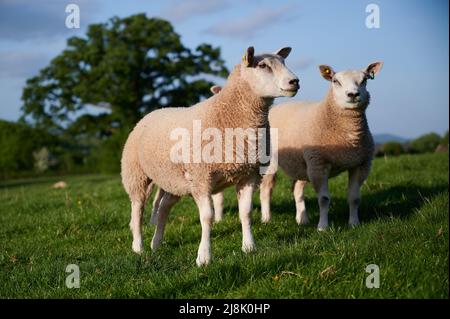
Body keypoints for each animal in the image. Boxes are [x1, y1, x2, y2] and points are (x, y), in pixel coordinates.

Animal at [121, 47, 300, 268]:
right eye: (262, 65)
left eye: (283, 62)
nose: (295, 81)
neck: (229, 115)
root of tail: (152, 113)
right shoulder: (201, 177)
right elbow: (207, 217)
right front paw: (204, 257)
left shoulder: (249, 175)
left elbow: (246, 212)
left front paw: (249, 247)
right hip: (136, 174)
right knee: (137, 211)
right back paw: (139, 247)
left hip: (174, 180)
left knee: (163, 208)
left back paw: (156, 243)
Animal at [256, 60, 384, 230]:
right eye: (335, 81)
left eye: (364, 80)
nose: (353, 94)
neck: (349, 140)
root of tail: (274, 108)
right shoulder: (318, 164)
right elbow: (323, 199)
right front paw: (323, 227)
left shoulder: (360, 164)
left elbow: (354, 198)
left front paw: (354, 223)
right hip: (270, 160)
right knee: (266, 189)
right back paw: (266, 218)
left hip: (301, 164)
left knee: (297, 190)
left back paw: (302, 219)